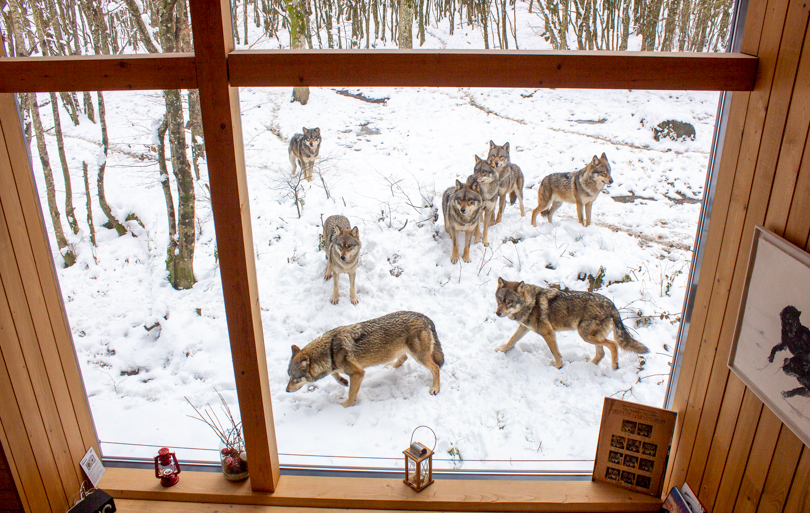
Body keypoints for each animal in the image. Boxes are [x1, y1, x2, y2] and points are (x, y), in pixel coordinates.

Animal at [284, 310, 446, 406]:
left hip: (420, 357)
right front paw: (342, 381)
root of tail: (423, 316)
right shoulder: (338, 368)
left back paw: (435, 388)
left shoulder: (358, 373)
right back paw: (390, 367)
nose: (286, 390)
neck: (330, 350)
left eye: (295, 379)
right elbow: (335, 374)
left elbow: (351, 394)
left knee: (435, 367)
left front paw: (344, 405)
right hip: (400, 351)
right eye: (289, 377)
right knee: (403, 358)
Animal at [490, 276, 648, 368]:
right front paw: (501, 350)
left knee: (614, 345)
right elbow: (511, 341)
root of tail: (611, 304)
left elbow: (556, 353)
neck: (531, 302)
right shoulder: (524, 328)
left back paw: (614, 367)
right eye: (500, 300)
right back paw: (590, 366)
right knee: (601, 353)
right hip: (590, 337)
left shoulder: (548, 333)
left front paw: (558, 367)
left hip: (585, 335)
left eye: (509, 302)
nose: (498, 313)